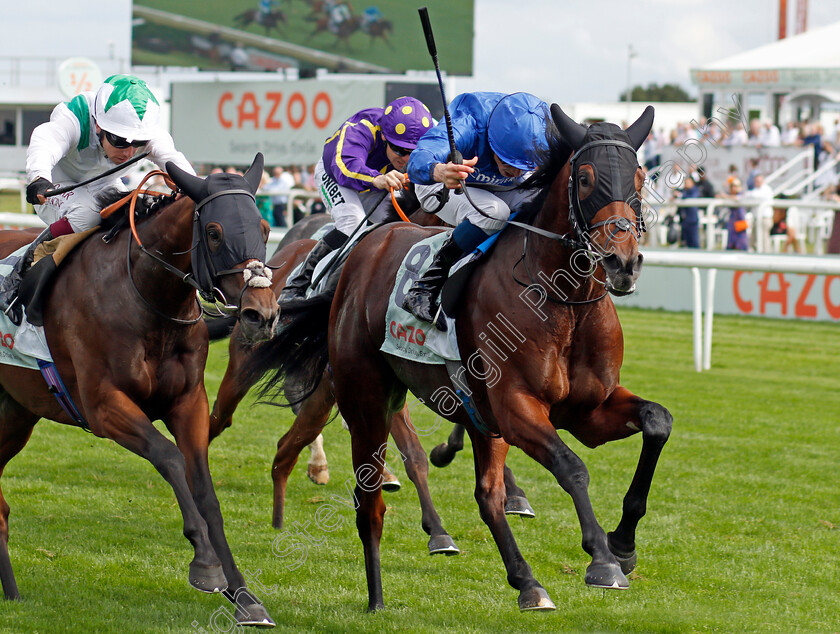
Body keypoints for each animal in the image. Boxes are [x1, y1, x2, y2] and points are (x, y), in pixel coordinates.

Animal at [0, 156, 278, 624]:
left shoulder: (189, 403)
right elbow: (169, 457)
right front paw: (205, 564)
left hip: (15, 415)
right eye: (214, 232)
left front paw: (243, 595)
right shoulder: (103, 405)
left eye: (264, 227)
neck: (145, 297)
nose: (262, 314)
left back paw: (13, 593)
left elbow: (205, 491)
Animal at [241, 106, 668, 608]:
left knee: (487, 495)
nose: (623, 262)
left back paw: (527, 582)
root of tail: (367, 248)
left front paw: (623, 543)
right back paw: (378, 597)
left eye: (640, 176)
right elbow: (572, 467)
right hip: (366, 397)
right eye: (585, 179)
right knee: (372, 499)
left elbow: (657, 423)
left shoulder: (588, 410)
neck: (565, 301)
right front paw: (602, 558)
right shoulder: (517, 408)